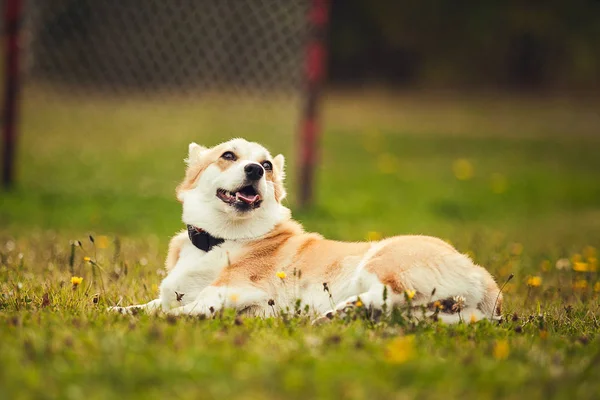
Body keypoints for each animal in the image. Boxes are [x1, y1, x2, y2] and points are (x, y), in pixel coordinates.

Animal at [111, 138, 502, 322]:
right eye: (228, 156)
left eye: (267, 165)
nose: (255, 170)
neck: (219, 238)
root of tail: (481, 276)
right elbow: (151, 304)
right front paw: (121, 310)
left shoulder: (232, 291)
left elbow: (182, 310)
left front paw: (160, 319)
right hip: (446, 314)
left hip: (381, 260)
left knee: (388, 295)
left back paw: (338, 312)